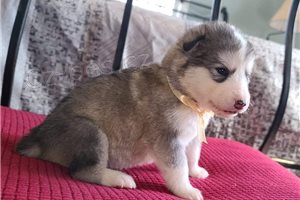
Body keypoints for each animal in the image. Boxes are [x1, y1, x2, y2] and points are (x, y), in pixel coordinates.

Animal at [16, 22, 254, 200]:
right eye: (221, 70)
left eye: (247, 76)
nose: (242, 103)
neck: (182, 95)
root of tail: (38, 136)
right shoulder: (167, 139)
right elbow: (178, 168)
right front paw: (186, 189)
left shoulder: (193, 135)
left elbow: (192, 155)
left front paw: (195, 171)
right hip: (90, 132)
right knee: (83, 172)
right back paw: (117, 178)